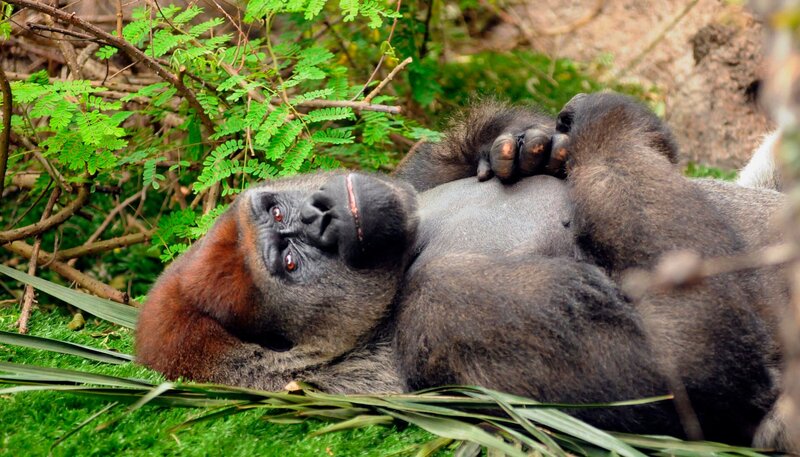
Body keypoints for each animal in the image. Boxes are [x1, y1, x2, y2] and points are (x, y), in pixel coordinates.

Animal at [136, 93, 789, 447]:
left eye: (276, 210)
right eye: (290, 263)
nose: (323, 215)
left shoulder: (409, 182)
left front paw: (515, 142)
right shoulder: (442, 316)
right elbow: (696, 371)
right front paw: (608, 124)